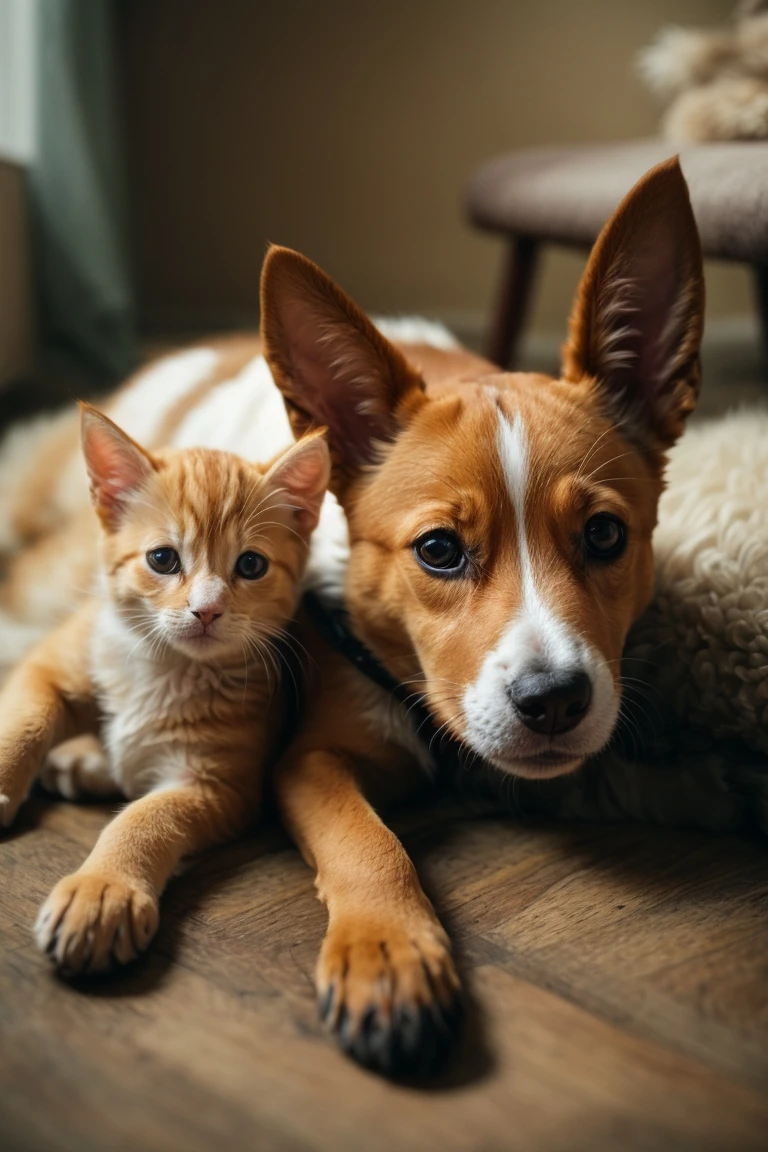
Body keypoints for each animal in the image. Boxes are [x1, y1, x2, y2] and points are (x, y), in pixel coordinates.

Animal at [0, 405, 327, 972]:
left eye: (251, 565)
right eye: (162, 559)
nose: (207, 609)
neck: (162, 665)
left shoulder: (218, 785)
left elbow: (146, 819)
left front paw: (102, 888)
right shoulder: (51, 661)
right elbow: (24, 722)